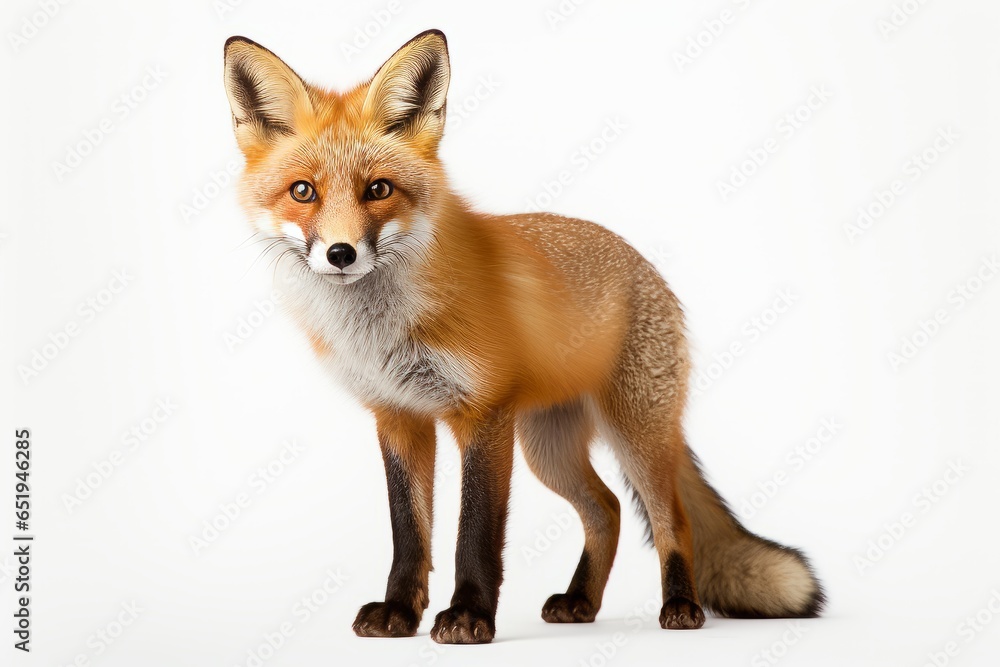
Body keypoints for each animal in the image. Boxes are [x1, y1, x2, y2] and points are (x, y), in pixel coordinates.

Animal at [222, 29, 824, 644]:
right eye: (303, 191)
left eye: (379, 189)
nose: (340, 253)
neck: (384, 329)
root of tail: (643, 264)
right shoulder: (399, 417)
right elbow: (409, 533)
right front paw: (398, 612)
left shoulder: (484, 414)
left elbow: (476, 533)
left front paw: (468, 616)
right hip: (548, 448)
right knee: (607, 510)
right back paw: (580, 601)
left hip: (635, 435)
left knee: (669, 518)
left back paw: (680, 605)